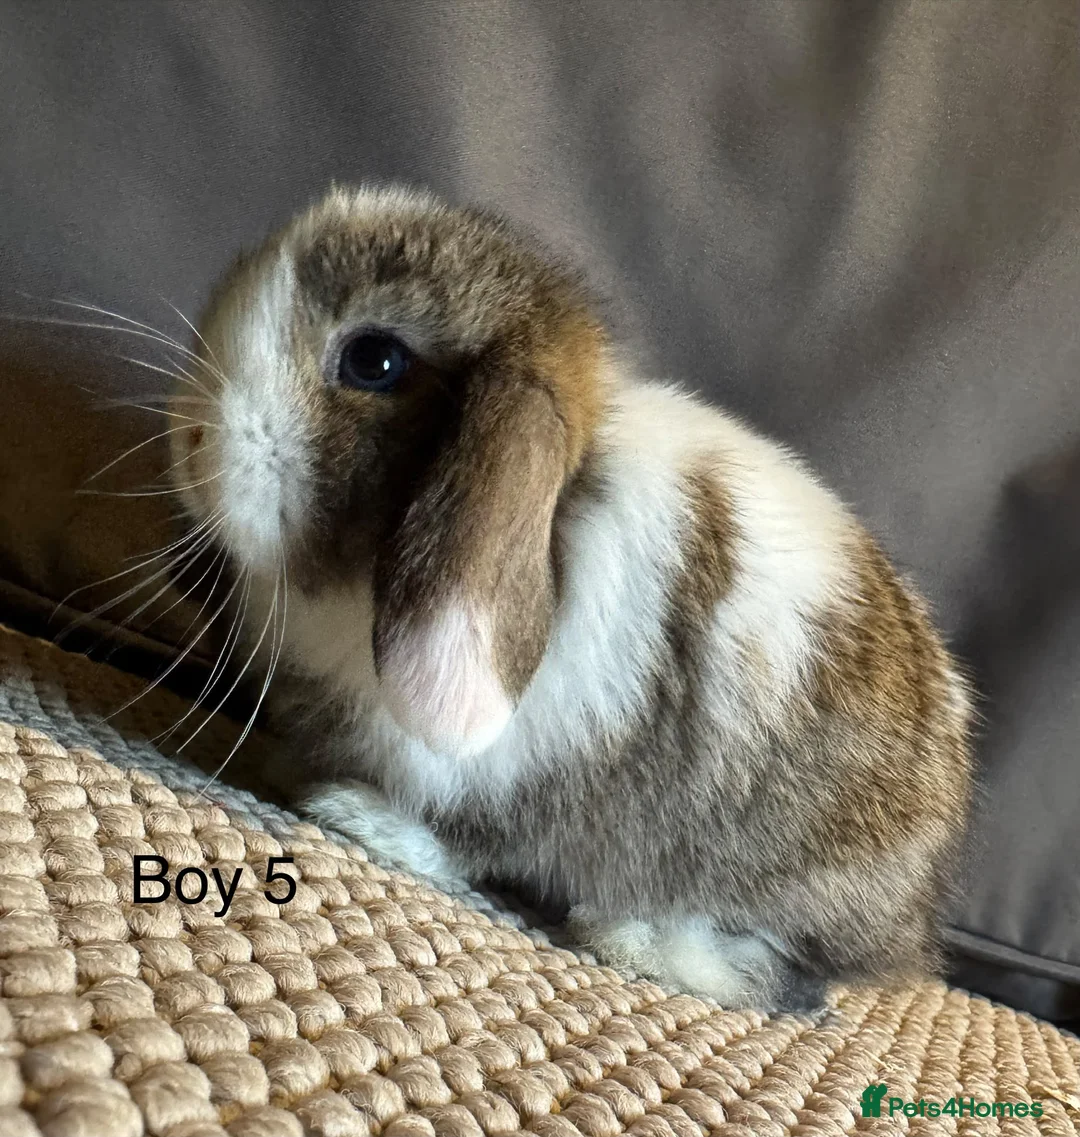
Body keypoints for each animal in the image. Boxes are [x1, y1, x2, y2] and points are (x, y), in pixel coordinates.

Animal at [167, 184, 973, 1012]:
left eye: (374, 359)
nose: (187, 438)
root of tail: (916, 916)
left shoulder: (523, 776)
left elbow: (471, 839)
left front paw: (355, 815)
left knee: (791, 977)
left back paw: (636, 940)